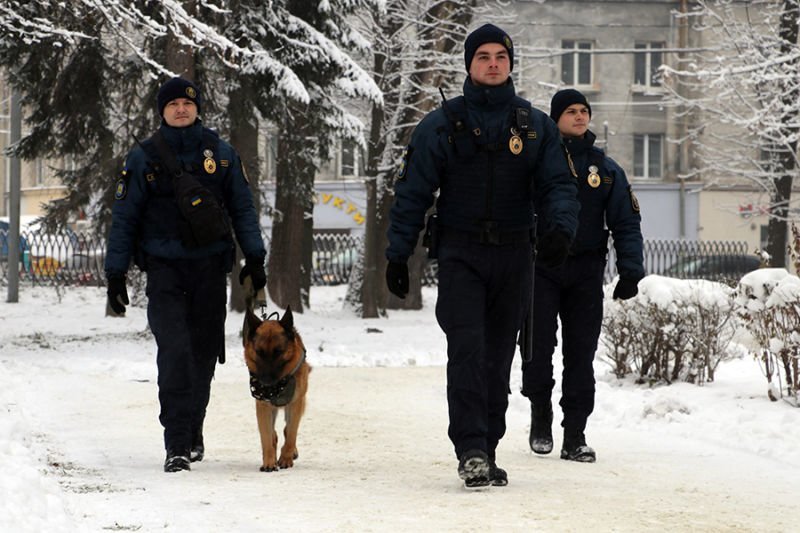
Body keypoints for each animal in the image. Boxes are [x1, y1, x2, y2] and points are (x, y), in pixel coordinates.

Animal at [242, 306, 310, 472]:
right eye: (259, 352)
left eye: (278, 352)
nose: (265, 381)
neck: (278, 384)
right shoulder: (263, 406)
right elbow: (266, 436)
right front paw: (269, 462)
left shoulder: (295, 404)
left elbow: (291, 433)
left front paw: (285, 458)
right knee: (274, 434)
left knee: (288, 430)